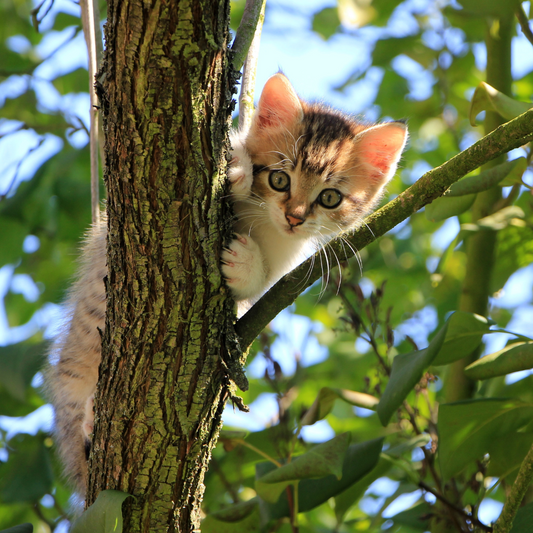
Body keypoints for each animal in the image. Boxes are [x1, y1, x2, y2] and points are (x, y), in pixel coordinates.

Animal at [47, 72, 410, 492]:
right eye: (280, 178)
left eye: (330, 198)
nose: (295, 217)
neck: (263, 221)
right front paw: (237, 168)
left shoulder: (284, 260)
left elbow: (260, 285)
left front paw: (245, 263)